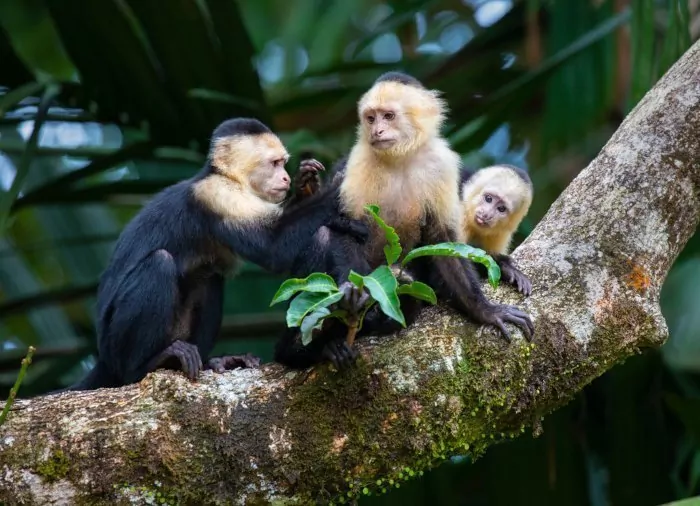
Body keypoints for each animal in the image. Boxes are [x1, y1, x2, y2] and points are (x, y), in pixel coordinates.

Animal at [65, 118, 366, 391]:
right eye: (274, 163)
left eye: (283, 164)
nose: (286, 178)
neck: (227, 178)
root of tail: (103, 358)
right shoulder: (218, 195)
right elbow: (272, 247)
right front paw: (341, 182)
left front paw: (308, 186)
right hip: (115, 344)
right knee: (159, 263)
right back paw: (147, 365)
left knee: (208, 277)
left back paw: (213, 361)